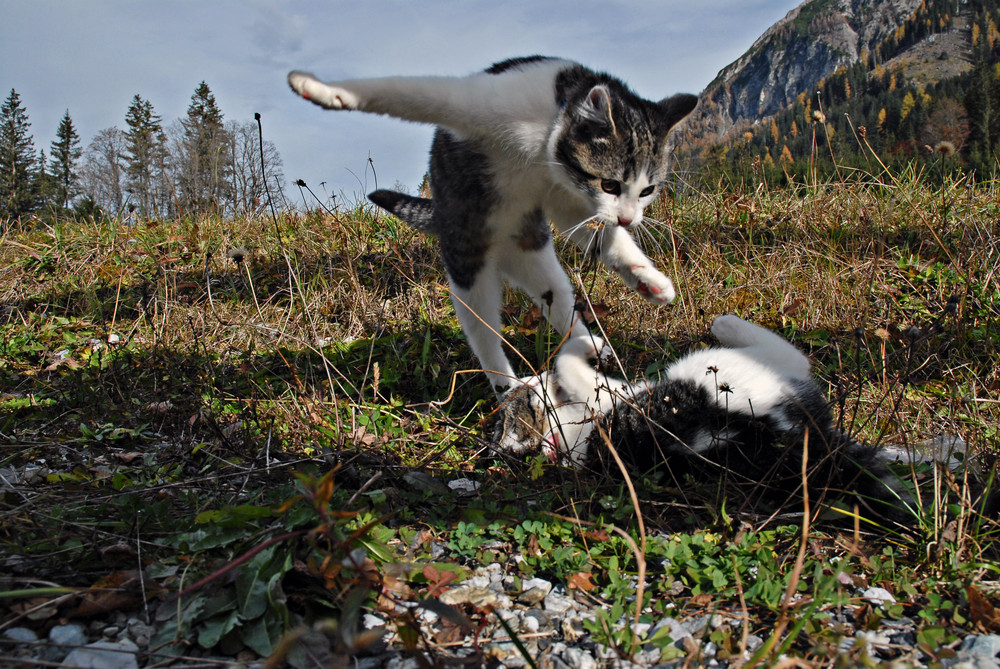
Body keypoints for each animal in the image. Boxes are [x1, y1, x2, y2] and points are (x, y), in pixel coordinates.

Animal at [288, 56, 696, 396]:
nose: (630, 216)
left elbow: (606, 237)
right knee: (485, 333)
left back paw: (586, 345)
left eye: (647, 190)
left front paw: (648, 279)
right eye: (610, 184)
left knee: (559, 303)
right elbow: (405, 92)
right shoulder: (476, 104)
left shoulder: (566, 196)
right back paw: (509, 385)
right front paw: (320, 89)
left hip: (535, 257)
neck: (544, 137)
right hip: (469, 273)